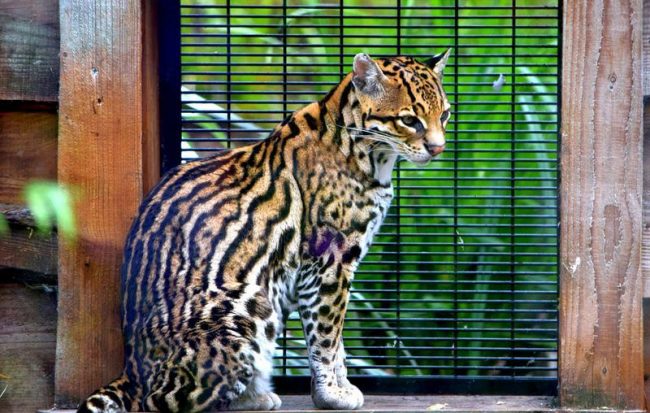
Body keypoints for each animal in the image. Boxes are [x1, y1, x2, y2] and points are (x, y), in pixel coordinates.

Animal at [77, 50, 451, 413]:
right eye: (409, 120)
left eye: (445, 115)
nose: (439, 148)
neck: (367, 153)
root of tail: (132, 374)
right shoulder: (330, 260)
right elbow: (327, 336)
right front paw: (332, 393)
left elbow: (337, 340)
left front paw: (336, 387)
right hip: (252, 303)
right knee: (163, 399)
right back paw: (251, 397)